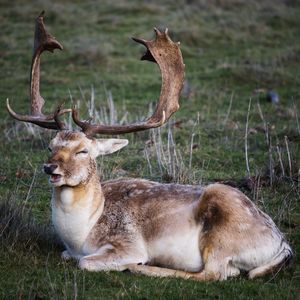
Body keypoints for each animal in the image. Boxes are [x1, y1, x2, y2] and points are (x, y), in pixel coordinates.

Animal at [7, 11, 292, 278]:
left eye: (83, 150)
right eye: (50, 146)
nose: (50, 168)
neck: (80, 236)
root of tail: (282, 245)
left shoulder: (128, 243)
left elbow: (85, 262)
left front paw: (132, 263)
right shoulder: (69, 249)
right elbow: (67, 255)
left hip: (221, 227)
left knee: (217, 273)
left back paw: (143, 268)